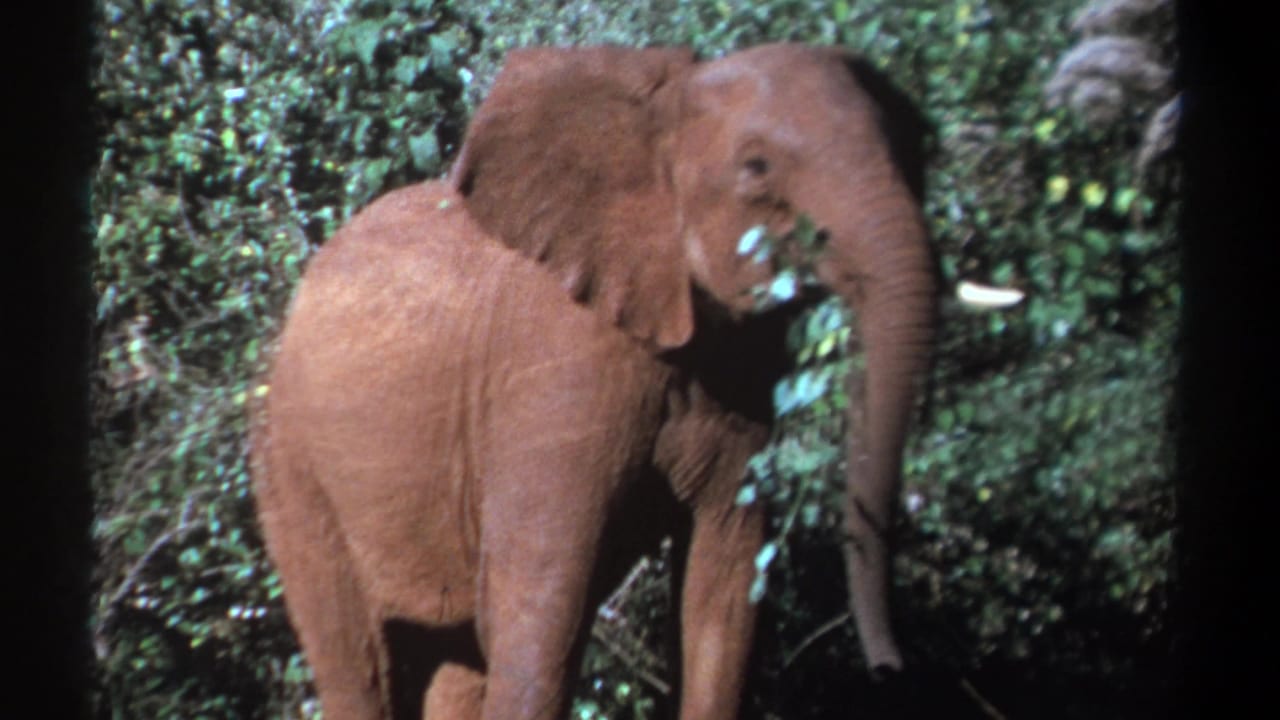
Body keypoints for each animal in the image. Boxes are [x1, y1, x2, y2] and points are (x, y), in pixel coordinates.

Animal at [251, 43, 936, 720]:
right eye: (757, 168)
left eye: (911, 150)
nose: (889, 670)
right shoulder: (556, 357)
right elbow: (543, 603)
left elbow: (726, 582)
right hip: (293, 470)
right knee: (359, 663)